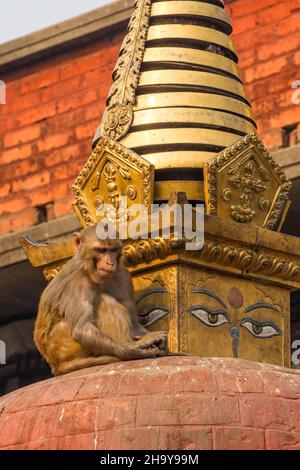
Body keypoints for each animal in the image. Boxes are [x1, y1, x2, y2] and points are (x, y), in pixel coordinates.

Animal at [34, 226, 169, 376]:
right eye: (101, 250)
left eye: (112, 250)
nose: (110, 262)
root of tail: (54, 364)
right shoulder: (78, 282)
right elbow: (82, 328)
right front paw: (133, 349)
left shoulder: (122, 273)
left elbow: (134, 323)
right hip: (63, 344)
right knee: (104, 300)